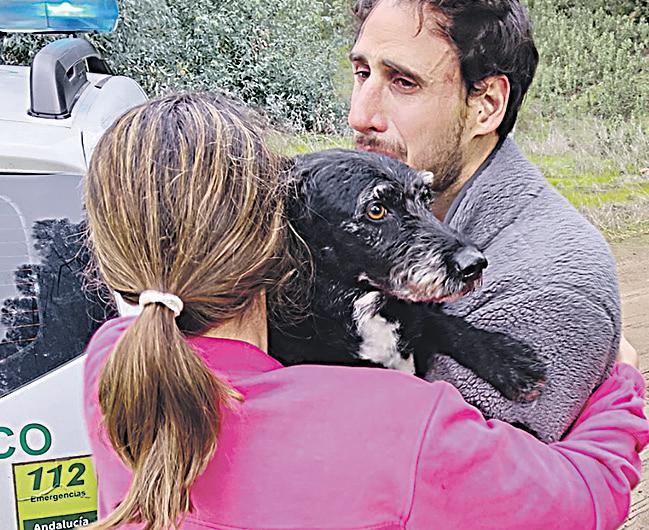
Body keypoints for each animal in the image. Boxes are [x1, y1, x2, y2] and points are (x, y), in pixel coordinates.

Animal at [269, 149, 546, 404]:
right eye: (376, 210)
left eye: (426, 199)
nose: (475, 264)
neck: (365, 308)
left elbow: (445, 324)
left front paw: (505, 358)